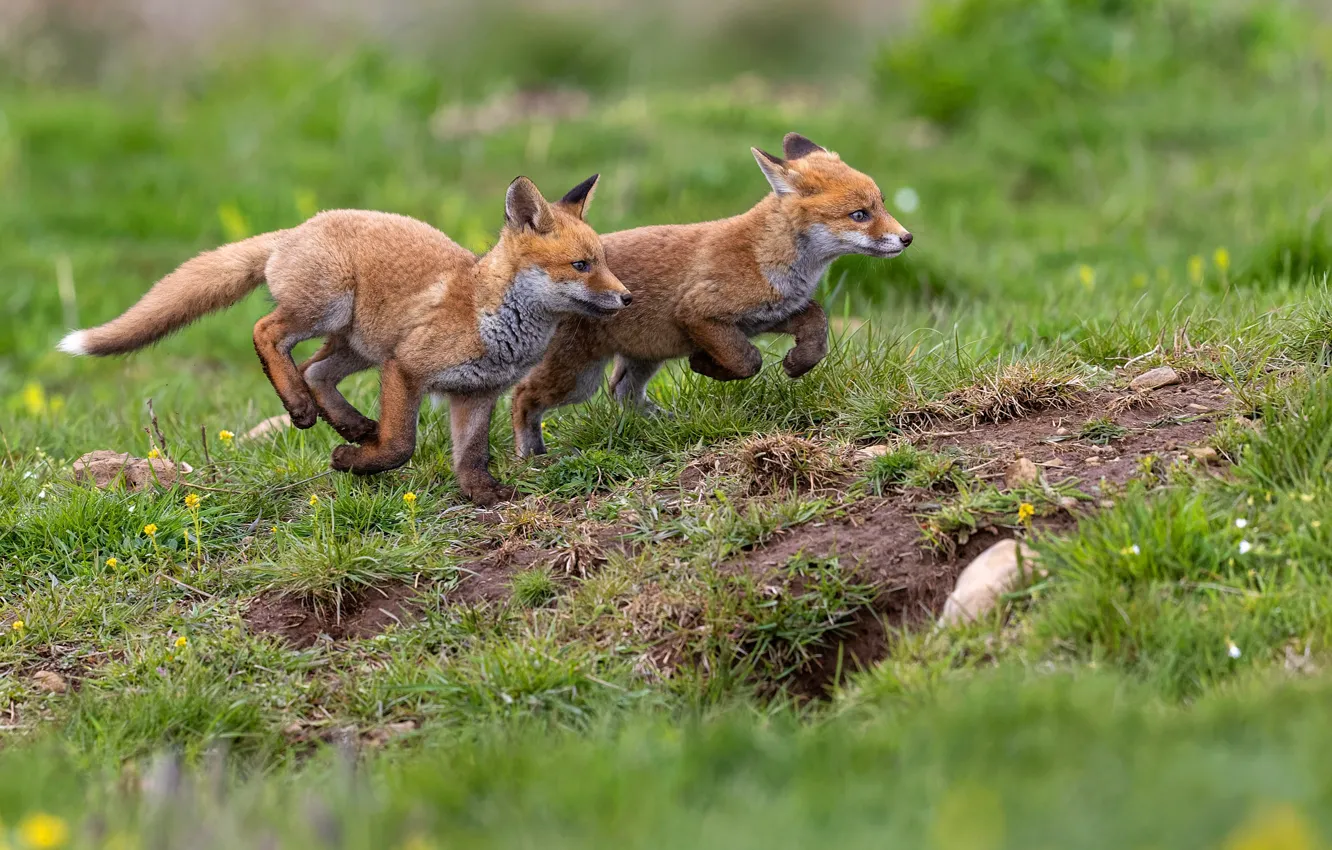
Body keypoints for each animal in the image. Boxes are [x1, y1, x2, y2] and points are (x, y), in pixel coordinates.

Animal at [58, 175, 631, 505]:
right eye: (582, 265)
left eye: (604, 259)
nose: (627, 298)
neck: (489, 317)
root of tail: (297, 228)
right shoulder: (406, 368)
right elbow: (400, 445)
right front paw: (353, 464)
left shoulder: (475, 392)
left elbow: (471, 456)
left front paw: (483, 495)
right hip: (329, 311)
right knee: (267, 334)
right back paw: (303, 408)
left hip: (358, 345)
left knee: (314, 369)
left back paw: (350, 424)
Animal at [511, 133, 912, 456]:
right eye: (859, 215)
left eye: (882, 204)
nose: (907, 238)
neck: (765, 255)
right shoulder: (699, 313)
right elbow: (748, 360)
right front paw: (705, 365)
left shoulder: (770, 314)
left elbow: (817, 325)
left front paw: (798, 363)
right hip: (577, 377)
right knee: (523, 397)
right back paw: (532, 456)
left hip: (642, 356)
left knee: (622, 391)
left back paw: (667, 423)